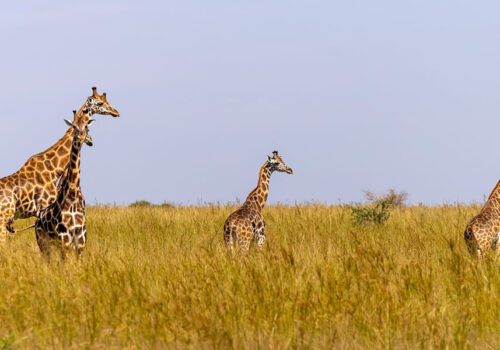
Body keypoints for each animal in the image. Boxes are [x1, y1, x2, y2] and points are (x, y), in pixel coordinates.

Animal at [0, 87, 118, 241]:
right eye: (100, 103)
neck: (53, 169)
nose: (116, 112)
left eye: (106, 101)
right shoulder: (44, 207)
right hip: (4, 217)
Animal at [35, 119, 94, 256]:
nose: (82, 137)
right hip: (43, 242)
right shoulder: (65, 239)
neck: (72, 196)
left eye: (87, 127)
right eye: (74, 127)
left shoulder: (80, 241)